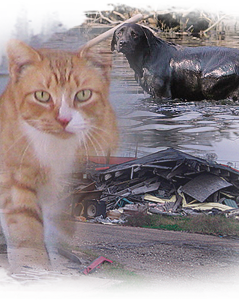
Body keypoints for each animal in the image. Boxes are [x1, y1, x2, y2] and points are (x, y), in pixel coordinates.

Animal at [0, 38, 118, 270]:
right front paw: (34, 265)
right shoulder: (14, 180)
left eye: (83, 94)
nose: (64, 120)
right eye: (42, 95)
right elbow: (26, 225)